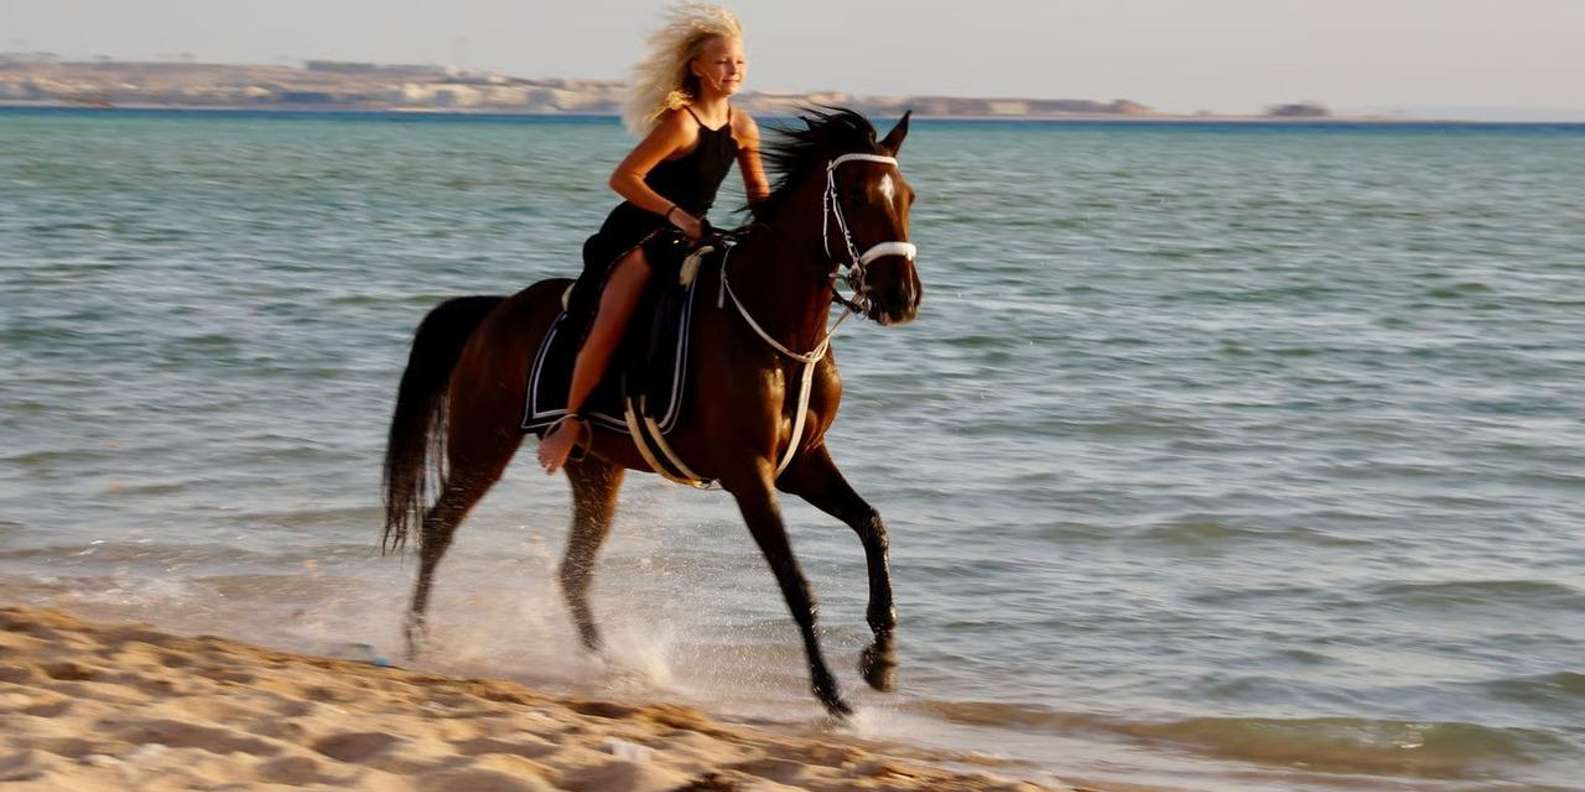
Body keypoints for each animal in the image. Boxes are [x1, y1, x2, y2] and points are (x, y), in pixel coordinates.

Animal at [380, 108, 920, 716]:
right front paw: (831, 694)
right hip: (483, 445)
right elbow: (794, 581)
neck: (774, 327)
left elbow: (872, 525)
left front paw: (883, 659)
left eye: (907, 196)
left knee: (572, 571)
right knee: (439, 527)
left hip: (596, 470)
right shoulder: (748, 473)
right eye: (854, 196)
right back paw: (419, 639)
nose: (901, 297)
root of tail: (495, 310)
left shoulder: (801, 461)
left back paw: (614, 667)